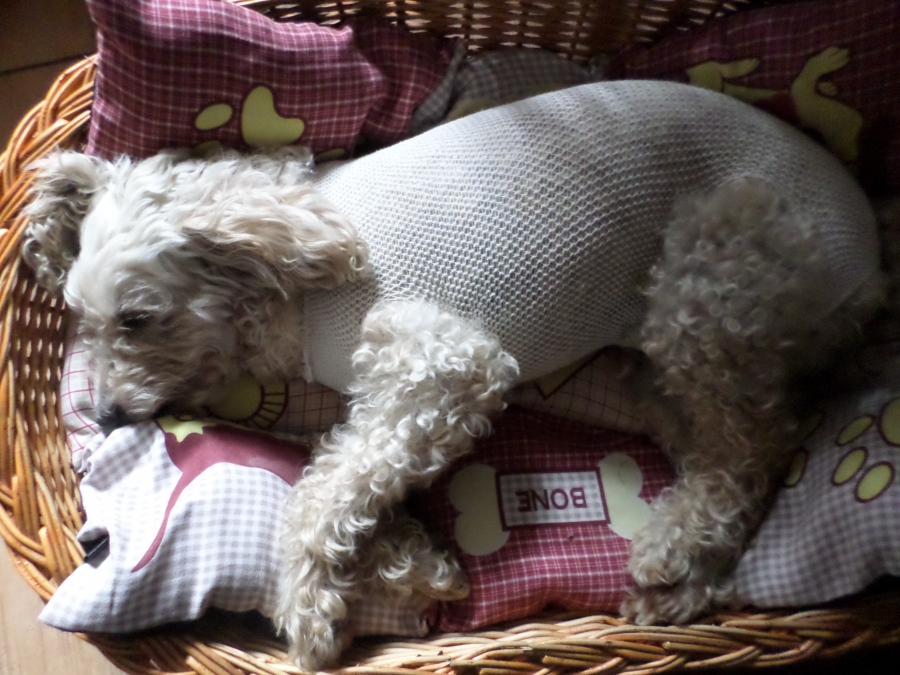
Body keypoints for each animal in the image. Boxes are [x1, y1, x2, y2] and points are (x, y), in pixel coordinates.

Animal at [22, 81, 885, 669]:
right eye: (82, 315)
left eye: (137, 319)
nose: (104, 416)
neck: (292, 289)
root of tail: (875, 250)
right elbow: (329, 474)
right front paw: (417, 561)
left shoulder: (447, 369)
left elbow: (318, 494)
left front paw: (310, 604)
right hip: (654, 358)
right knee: (712, 432)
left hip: (709, 276)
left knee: (754, 444)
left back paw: (677, 556)